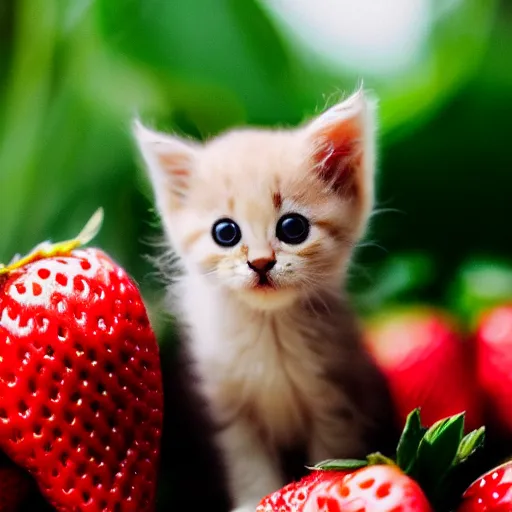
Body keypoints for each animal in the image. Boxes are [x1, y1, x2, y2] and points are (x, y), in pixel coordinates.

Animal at [134, 92, 394, 512]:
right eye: (225, 232)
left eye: (293, 228)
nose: (259, 263)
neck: (268, 333)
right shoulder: (227, 410)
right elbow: (248, 463)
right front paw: (253, 500)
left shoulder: (337, 400)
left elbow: (327, 460)